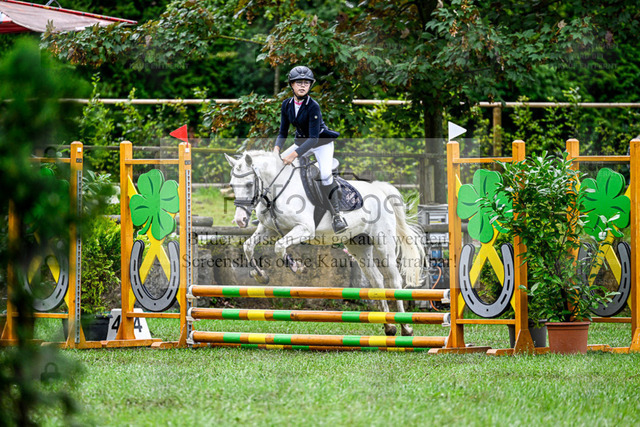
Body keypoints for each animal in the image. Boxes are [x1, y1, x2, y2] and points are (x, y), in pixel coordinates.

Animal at [225, 150, 425, 336]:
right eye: (232, 185)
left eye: (249, 184)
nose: (240, 220)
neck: (276, 190)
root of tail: (380, 191)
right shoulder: (268, 230)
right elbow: (248, 247)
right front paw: (260, 276)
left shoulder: (304, 229)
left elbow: (279, 246)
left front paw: (297, 267)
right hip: (358, 245)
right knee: (377, 279)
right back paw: (389, 326)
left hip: (383, 244)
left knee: (394, 280)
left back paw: (406, 327)